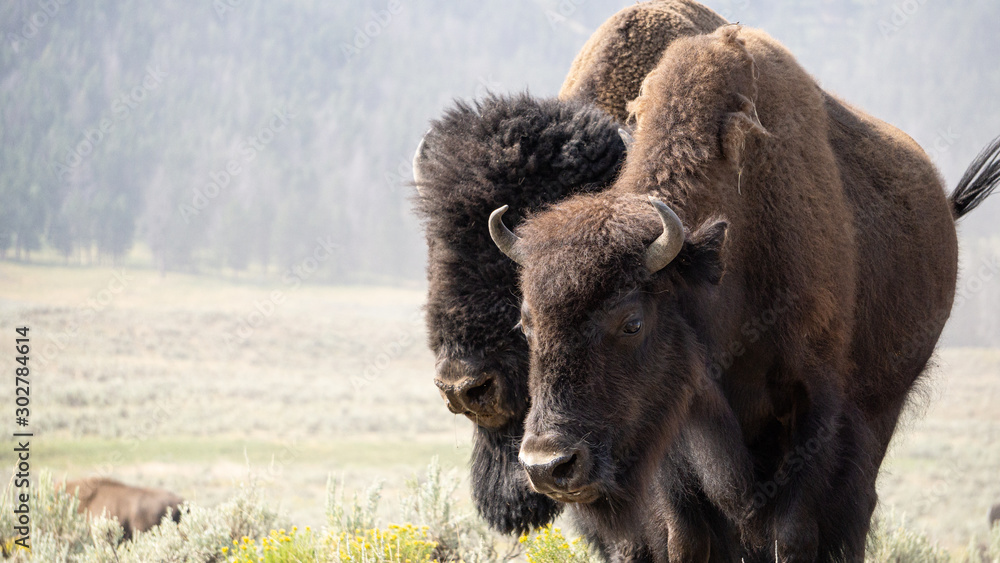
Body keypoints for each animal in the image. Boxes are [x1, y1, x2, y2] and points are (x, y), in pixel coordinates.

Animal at [490, 26, 1000, 562]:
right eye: (526, 323)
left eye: (632, 322)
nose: (549, 465)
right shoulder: (678, 422)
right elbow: (686, 534)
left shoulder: (814, 406)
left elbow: (793, 531)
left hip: (882, 407)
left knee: (858, 507)